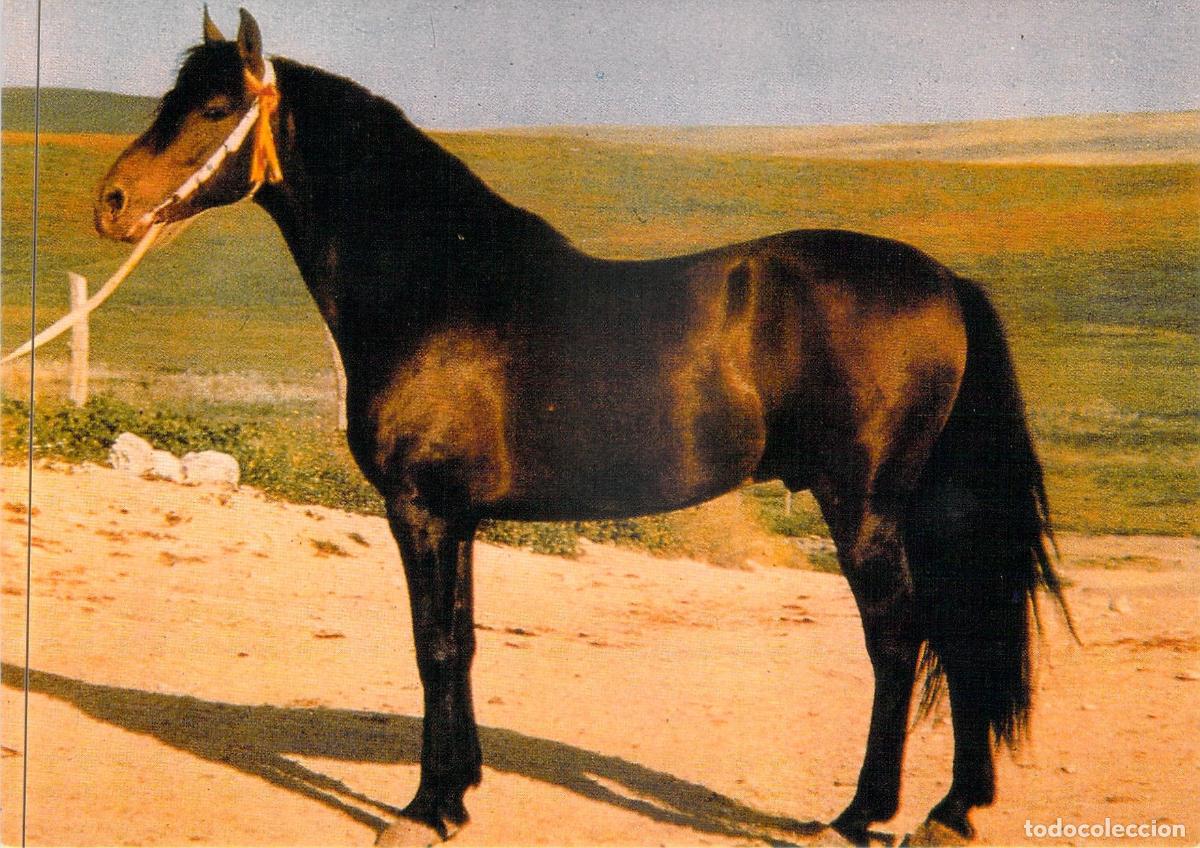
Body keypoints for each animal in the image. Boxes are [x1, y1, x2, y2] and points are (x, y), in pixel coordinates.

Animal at [95, 9, 1069, 846]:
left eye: (214, 107)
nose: (110, 202)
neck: (439, 285)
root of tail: (946, 283)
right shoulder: (460, 519)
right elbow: (463, 641)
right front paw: (460, 791)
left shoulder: (420, 510)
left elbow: (432, 645)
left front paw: (423, 809)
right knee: (964, 634)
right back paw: (952, 811)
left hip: (863, 505)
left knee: (900, 639)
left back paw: (859, 816)